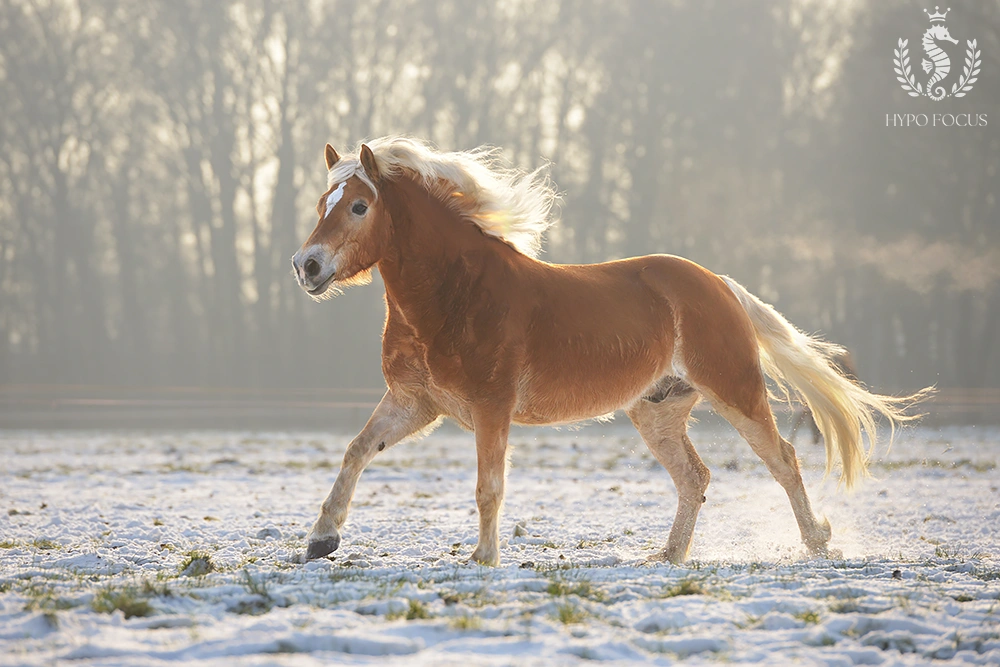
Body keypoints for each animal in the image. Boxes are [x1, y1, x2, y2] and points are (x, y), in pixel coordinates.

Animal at [292, 138, 928, 568]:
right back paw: (668, 558)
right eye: (324, 200)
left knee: (784, 461)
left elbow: (488, 486)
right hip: (656, 410)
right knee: (694, 477)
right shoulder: (415, 403)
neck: (455, 292)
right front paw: (321, 539)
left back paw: (817, 544)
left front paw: (483, 559)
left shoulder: (491, 406)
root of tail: (719, 284)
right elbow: (356, 451)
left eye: (358, 206)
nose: (308, 266)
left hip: (737, 393)